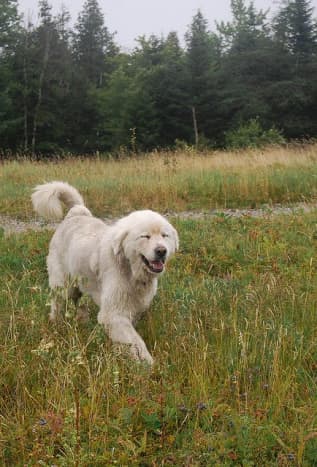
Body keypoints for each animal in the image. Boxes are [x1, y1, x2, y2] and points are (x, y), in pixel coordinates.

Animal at [31, 182, 178, 366]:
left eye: (165, 235)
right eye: (145, 236)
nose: (161, 251)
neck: (130, 269)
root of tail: (77, 213)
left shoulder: (133, 308)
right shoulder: (113, 314)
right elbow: (135, 340)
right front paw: (147, 364)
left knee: (78, 304)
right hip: (63, 285)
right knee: (58, 304)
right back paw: (56, 323)